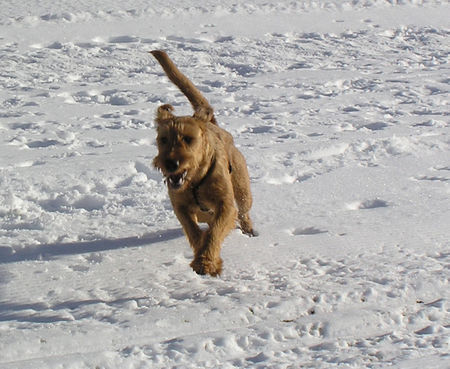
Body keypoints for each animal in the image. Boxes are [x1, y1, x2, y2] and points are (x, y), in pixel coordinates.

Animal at [151, 51, 255, 276]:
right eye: (163, 139)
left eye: (189, 139)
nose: (171, 163)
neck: (195, 183)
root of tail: (214, 125)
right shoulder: (180, 207)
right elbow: (194, 232)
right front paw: (203, 256)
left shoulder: (226, 206)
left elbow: (216, 232)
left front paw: (206, 262)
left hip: (242, 188)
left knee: (244, 211)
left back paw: (249, 229)